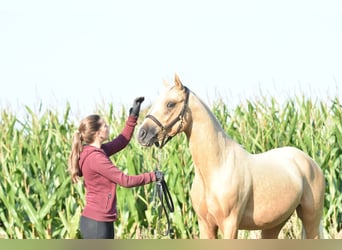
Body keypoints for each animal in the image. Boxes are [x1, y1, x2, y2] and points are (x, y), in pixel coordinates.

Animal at [137, 74, 326, 238]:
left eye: (170, 104)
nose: (142, 134)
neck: (217, 167)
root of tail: (310, 163)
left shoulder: (229, 224)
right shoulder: (205, 225)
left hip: (311, 219)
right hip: (274, 223)